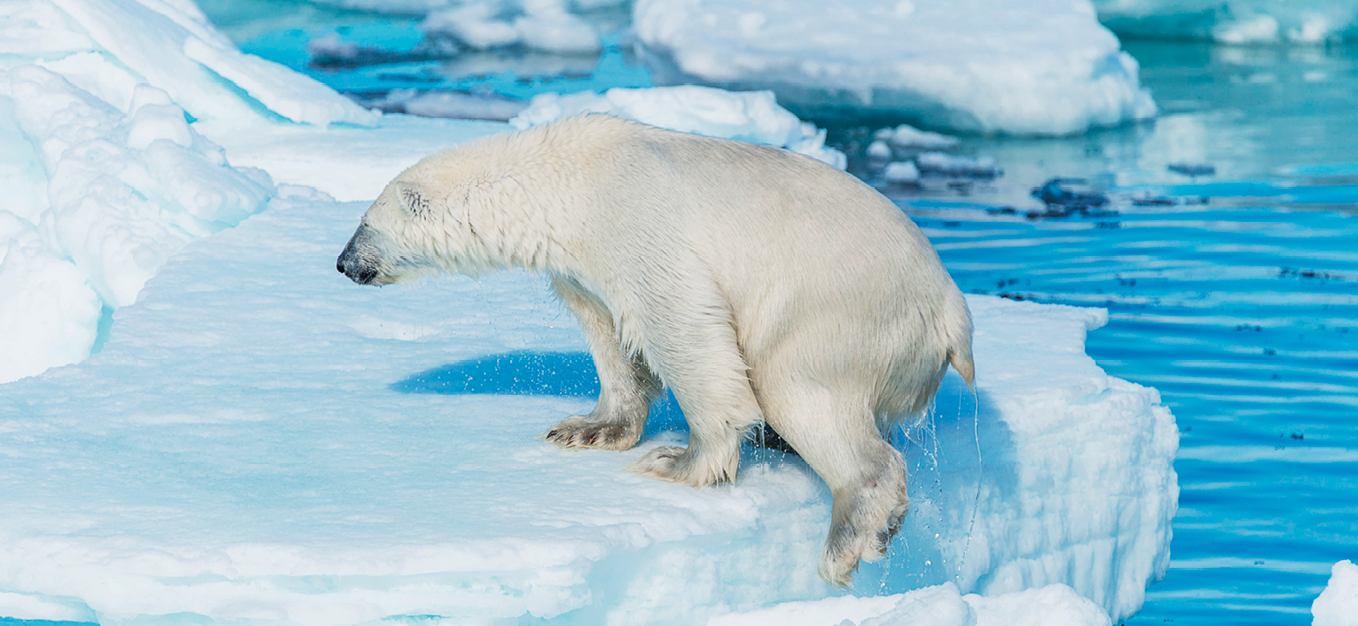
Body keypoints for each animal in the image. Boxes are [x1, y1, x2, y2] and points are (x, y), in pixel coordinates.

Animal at [339, 116, 977, 586]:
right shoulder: (585, 268)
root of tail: (952, 311)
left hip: (835, 312)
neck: (567, 181)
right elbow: (612, 338)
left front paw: (678, 462)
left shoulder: (637, 230)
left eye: (365, 224)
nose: (344, 264)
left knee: (804, 391)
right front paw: (586, 429)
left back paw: (848, 535)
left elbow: (683, 327)